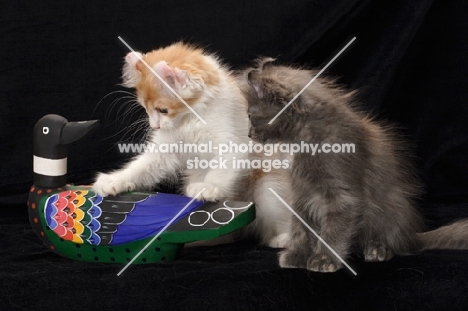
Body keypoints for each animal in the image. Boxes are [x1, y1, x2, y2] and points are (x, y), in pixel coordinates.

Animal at [93, 43, 290, 249]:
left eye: (163, 110)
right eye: (145, 109)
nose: (155, 126)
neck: (189, 119)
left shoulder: (232, 142)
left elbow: (219, 170)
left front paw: (208, 186)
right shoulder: (164, 151)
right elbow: (139, 168)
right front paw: (114, 180)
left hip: (268, 189)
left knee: (277, 214)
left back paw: (282, 238)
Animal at [241, 58, 468, 272]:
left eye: (250, 116)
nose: (249, 134)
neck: (299, 138)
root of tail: (411, 237)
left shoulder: (342, 193)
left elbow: (334, 229)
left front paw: (324, 260)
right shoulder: (301, 193)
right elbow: (300, 226)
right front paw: (297, 256)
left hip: (389, 208)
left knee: (390, 240)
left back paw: (377, 249)